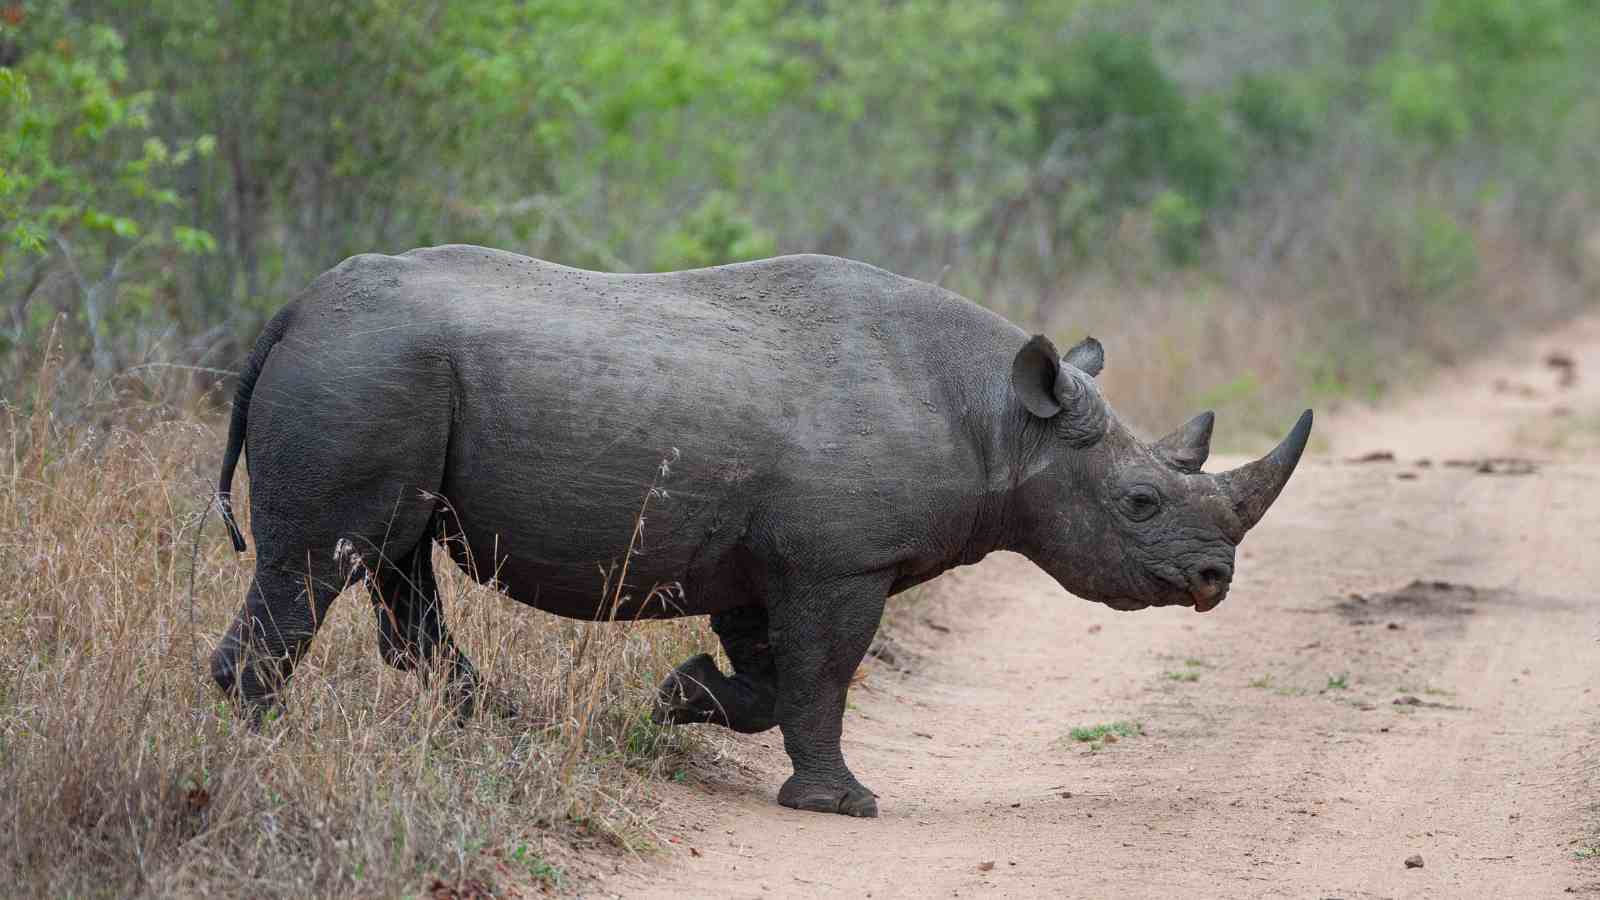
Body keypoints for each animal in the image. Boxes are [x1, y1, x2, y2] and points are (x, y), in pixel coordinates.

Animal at [212, 246, 1311, 818]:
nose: (1214, 579)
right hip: (363, 375)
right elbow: (823, 673)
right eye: (1140, 502)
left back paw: (490, 730)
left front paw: (680, 696)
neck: (1004, 420)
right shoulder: (840, 560)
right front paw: (844, 804)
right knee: (322, 565)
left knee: (395, 569)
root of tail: (289, 314)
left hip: (382, 376)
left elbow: (772, 675)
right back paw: (261, 752)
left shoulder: (766, 557)